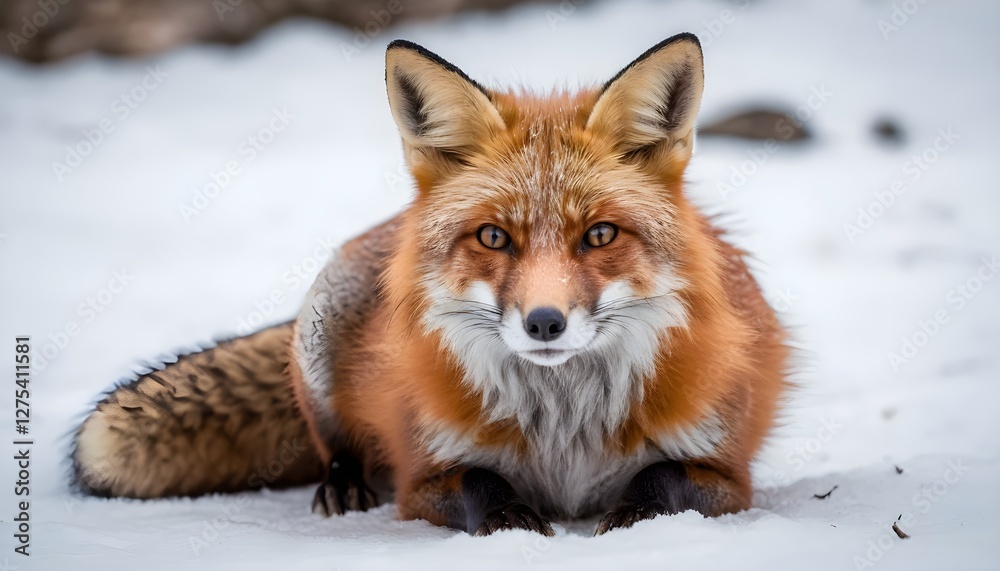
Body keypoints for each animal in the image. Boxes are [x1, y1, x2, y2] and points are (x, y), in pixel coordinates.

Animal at [72, 33, 789, 536]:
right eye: (493, 237)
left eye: (601, 235)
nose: (545, 322)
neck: (564, 435)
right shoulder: (424, 477)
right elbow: (480, 486)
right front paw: (510, 522)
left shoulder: (727, 473)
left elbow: (663, 478)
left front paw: (630, 519)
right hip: (320, 327)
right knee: (331, 441)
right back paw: (342, 486)